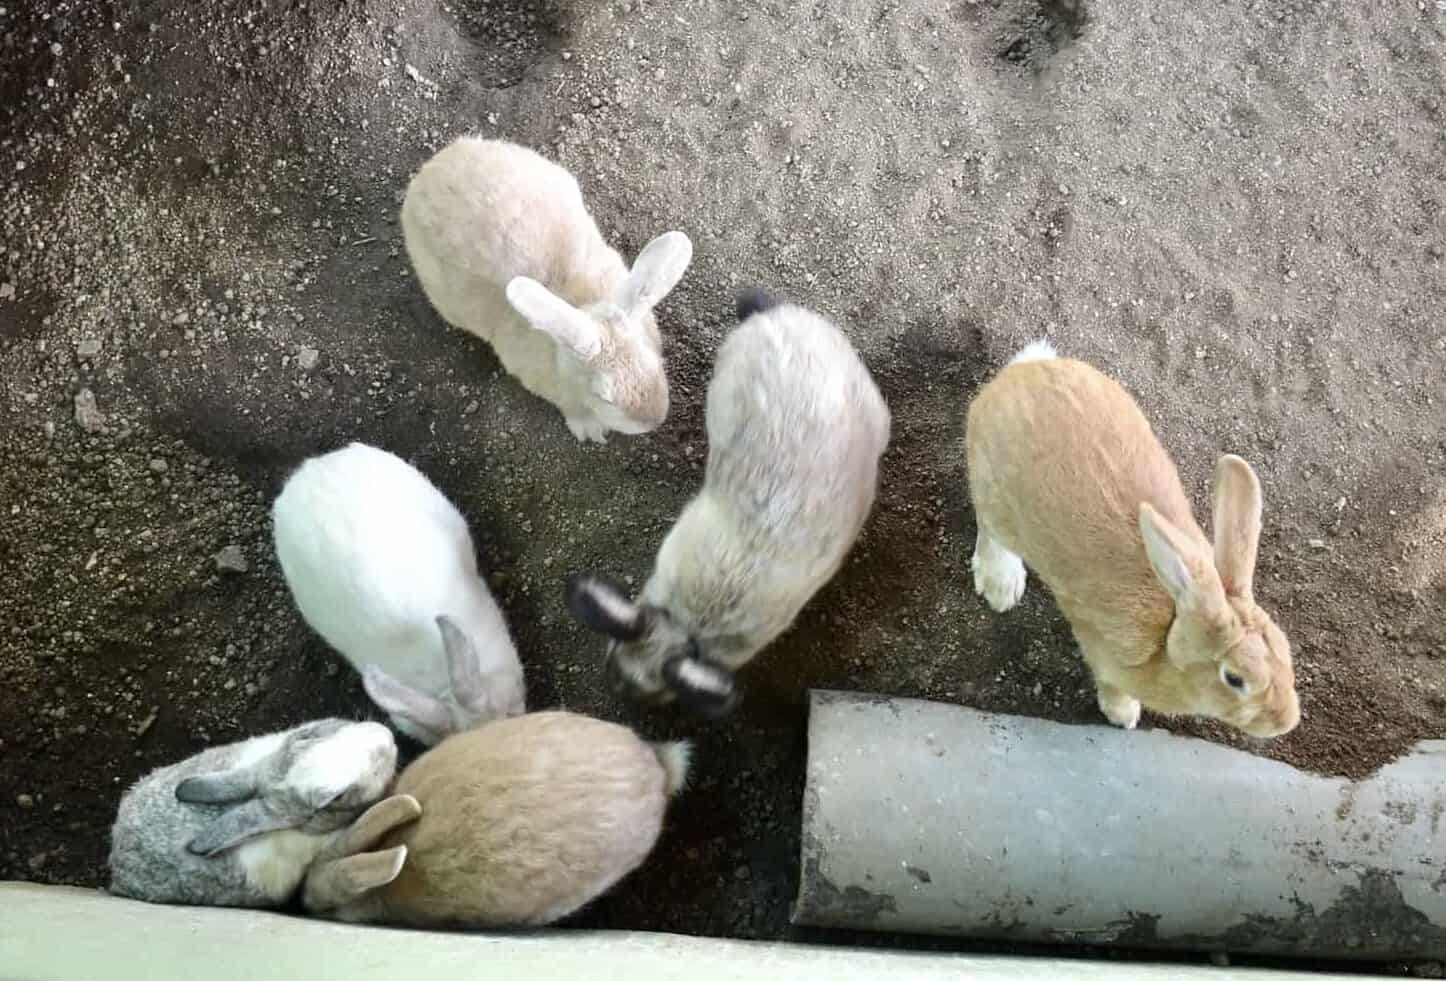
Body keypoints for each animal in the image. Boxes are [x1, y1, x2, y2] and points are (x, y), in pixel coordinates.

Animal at [401, 136, 694, 442]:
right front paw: (589, 430)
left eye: (653, 360)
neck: (581, 303)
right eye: (604, 396)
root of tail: (433, 167)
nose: (654, 421)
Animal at [965, 341, 1307, 740]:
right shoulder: (1105, 657)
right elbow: (1112, 687)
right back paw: (1001, 584)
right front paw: (1124, 716)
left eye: (1285, 649)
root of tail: (1012, 379)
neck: (1170, 628)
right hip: (996, 502)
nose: (1286, 721)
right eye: (1234, 679)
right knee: (988, 529)